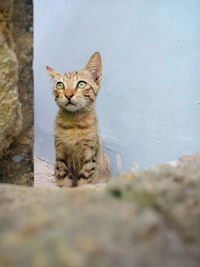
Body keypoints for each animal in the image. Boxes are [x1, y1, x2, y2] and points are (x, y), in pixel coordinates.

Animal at [46, 51, 111, 187]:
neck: (74, 123)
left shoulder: (89, 158)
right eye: (60, 85)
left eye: (81, 84)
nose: (68, 94)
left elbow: (84, 184)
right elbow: (64, 182)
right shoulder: (60, 156)